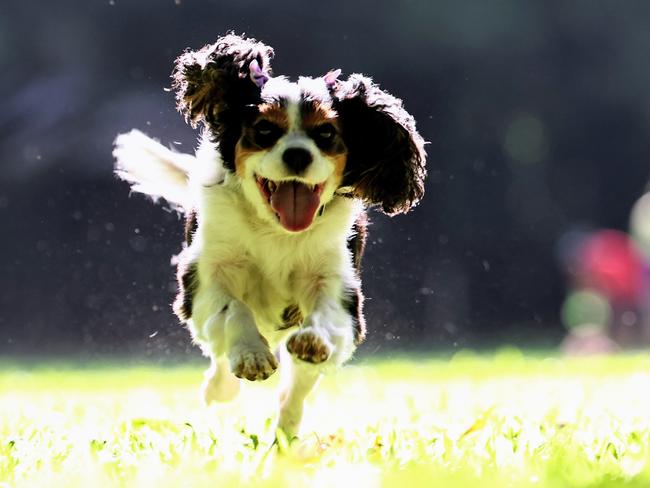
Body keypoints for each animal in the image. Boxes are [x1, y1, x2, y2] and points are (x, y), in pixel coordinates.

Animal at [111, 34, 426, 438]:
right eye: (264, 130)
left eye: (326, 133)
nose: (297, 155)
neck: (275, 227)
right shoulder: (203, 277)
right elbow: (233, 309)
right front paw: (251, 355)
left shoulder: (337, 282)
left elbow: (328, 313)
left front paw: (313, 339)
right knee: (220, 362)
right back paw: (219, 388)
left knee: (294, 392)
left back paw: (285, 435)